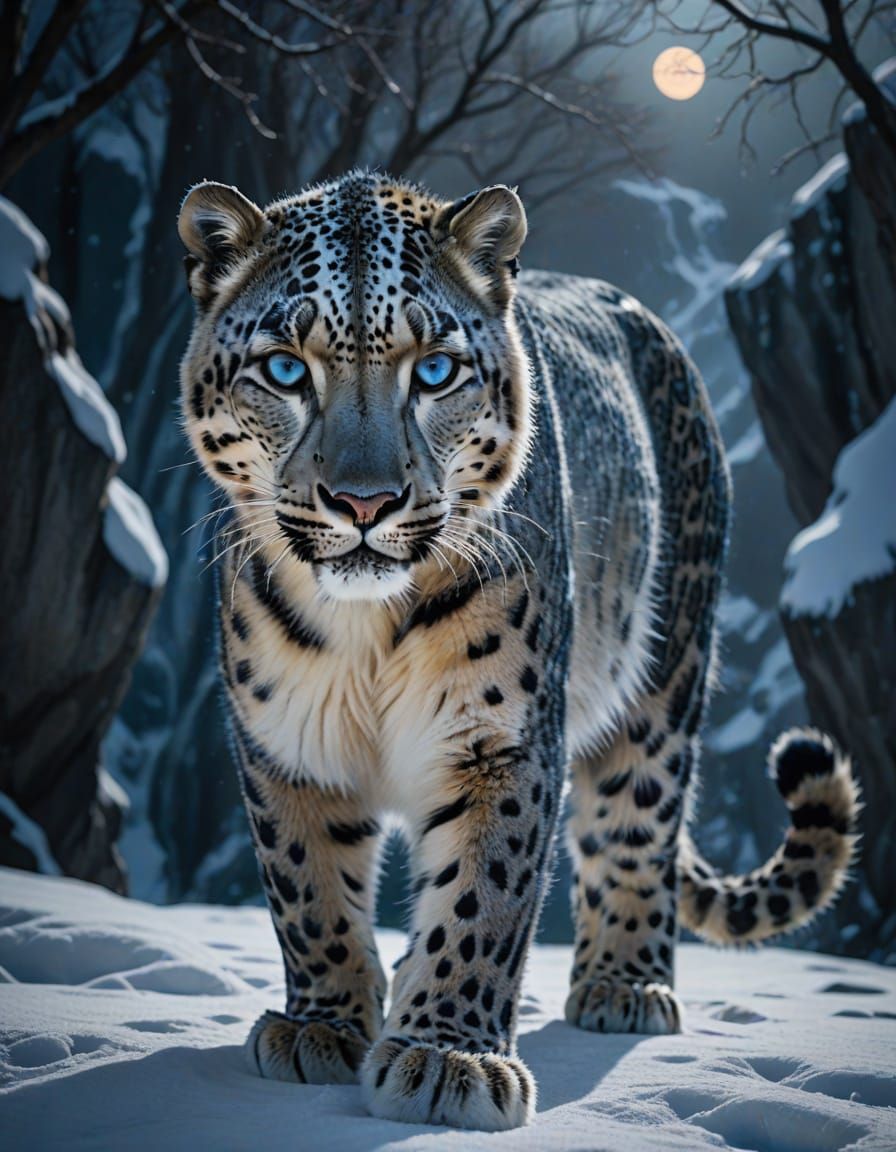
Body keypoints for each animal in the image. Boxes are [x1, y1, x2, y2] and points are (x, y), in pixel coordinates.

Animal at [176, 170, 860, 1132]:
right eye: (284, 368)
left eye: (435, 370)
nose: (364, 502)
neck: (366, 638)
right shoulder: (283, 740)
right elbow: (307, 888)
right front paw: (323, 1026)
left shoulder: (499, 738)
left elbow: (483, 893)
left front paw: (447, 1060)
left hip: (666, 675)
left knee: (639, 821)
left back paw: (625, 987)